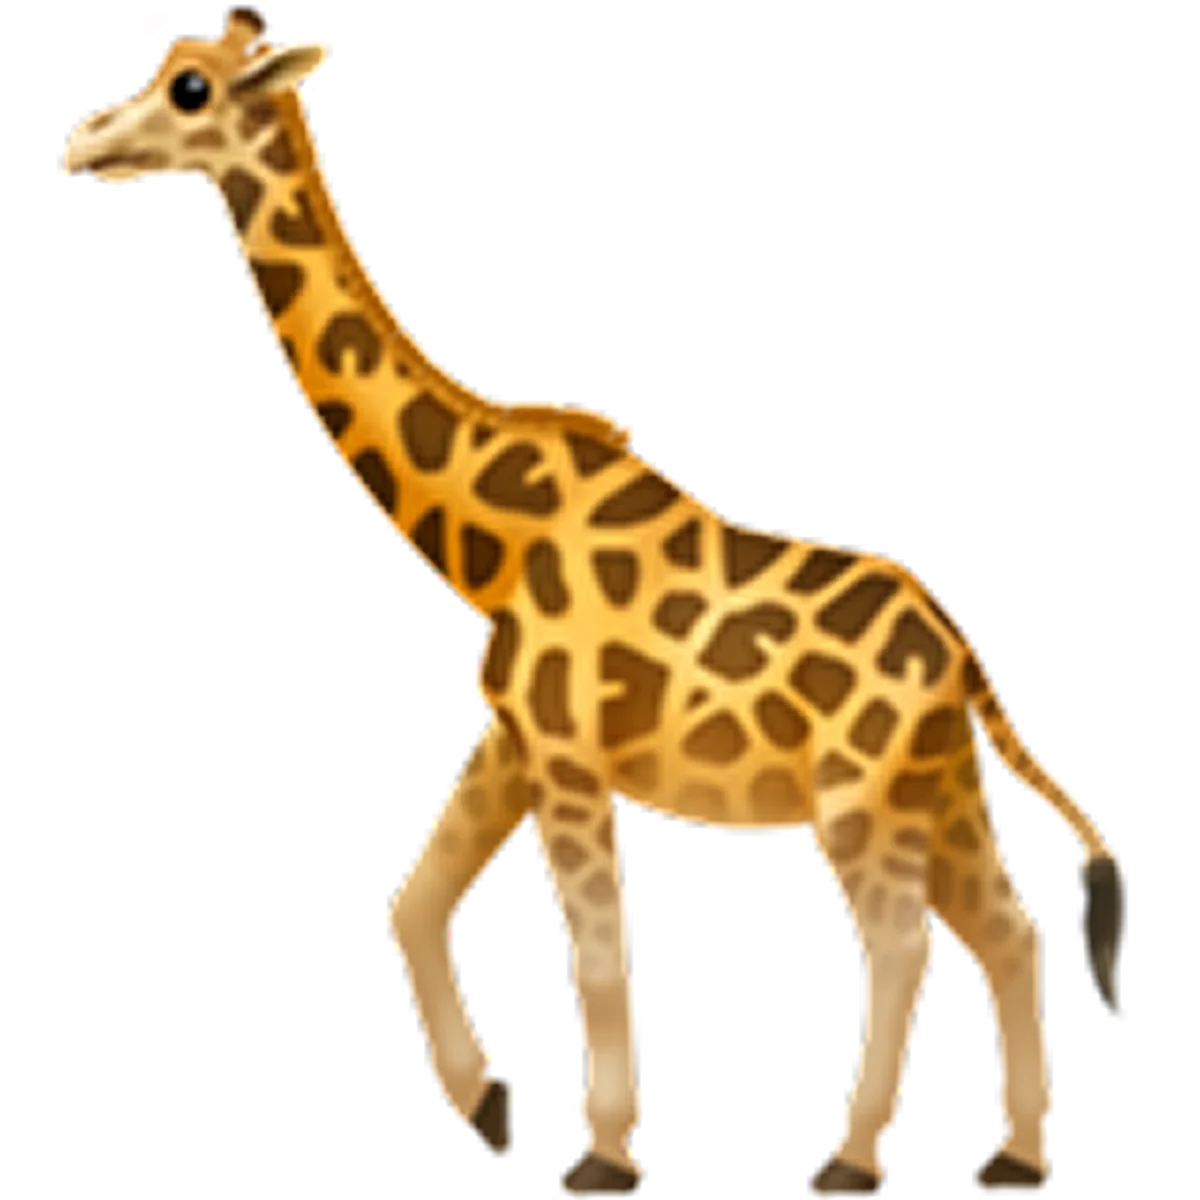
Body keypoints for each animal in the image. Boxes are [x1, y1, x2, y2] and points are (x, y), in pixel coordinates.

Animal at [59, 11, 1127, 1198]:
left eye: (189, 89)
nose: (81, 144)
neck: (493, 532)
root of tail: (970, 669)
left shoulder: (572, 763)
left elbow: (604, 965)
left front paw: (604, 1155)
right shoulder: (512, 740)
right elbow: (414, 899)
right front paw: (487, 1106)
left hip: (861, 802)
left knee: (904, 946)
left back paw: (848, 1165)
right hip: (942, 793)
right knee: (1009, 930)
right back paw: (1020, 1154)